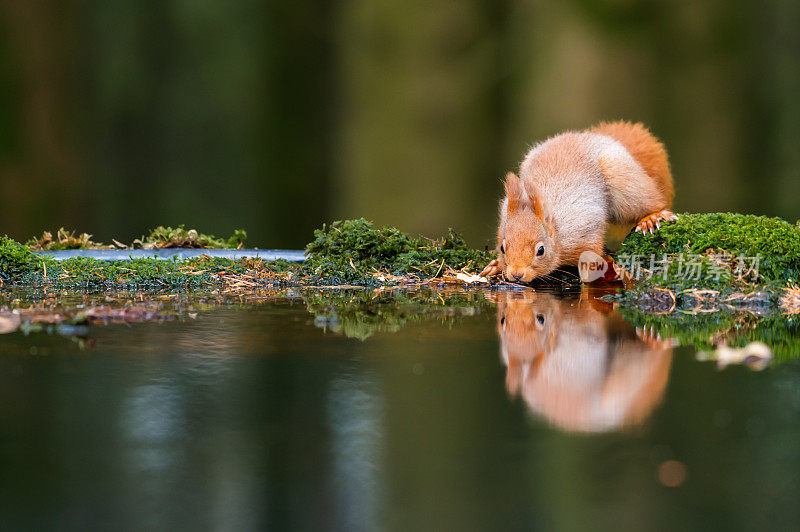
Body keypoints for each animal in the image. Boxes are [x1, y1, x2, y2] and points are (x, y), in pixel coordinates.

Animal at [482, 120, 676, 282]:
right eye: (502, 248)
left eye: (541, 250)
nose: (516, 274)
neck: (557, 230)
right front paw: (496, 265)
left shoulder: (585, 228)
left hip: (623, 179)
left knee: (649, 201)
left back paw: (651, 218)